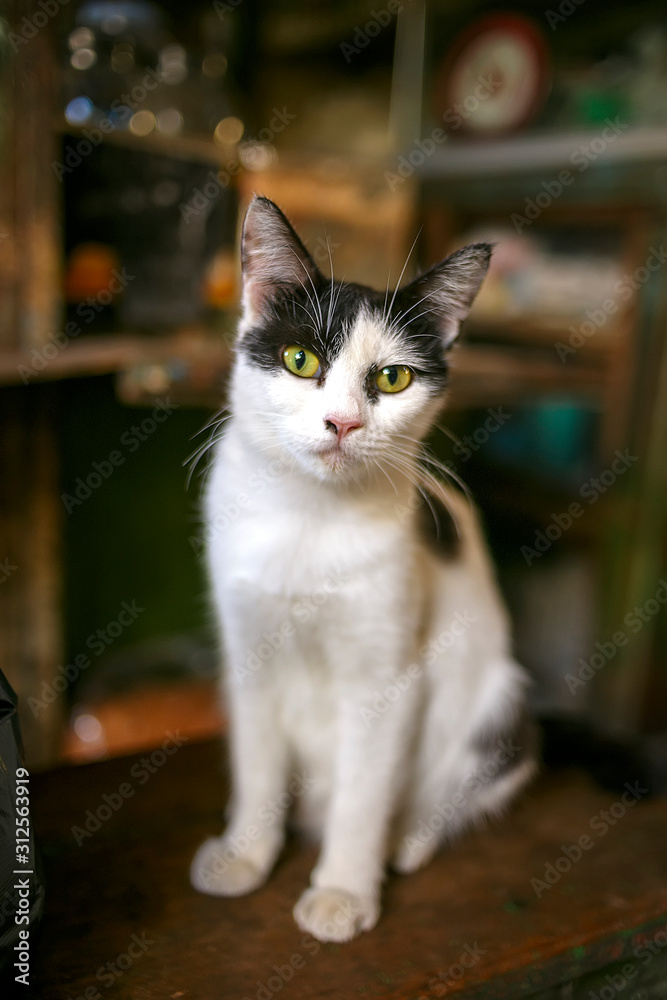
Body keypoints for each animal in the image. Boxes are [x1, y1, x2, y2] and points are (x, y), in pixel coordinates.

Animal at [189, 197, 536, 944]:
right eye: (299, 359)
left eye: (392, 377)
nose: (343, 423)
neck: (310, 520)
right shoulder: (246, 650)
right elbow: (257, 763)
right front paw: (245, 856)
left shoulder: (389, 676)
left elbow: (365, 790)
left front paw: (344, 890)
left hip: (499, 706)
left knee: (462, 785)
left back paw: (406, 841)